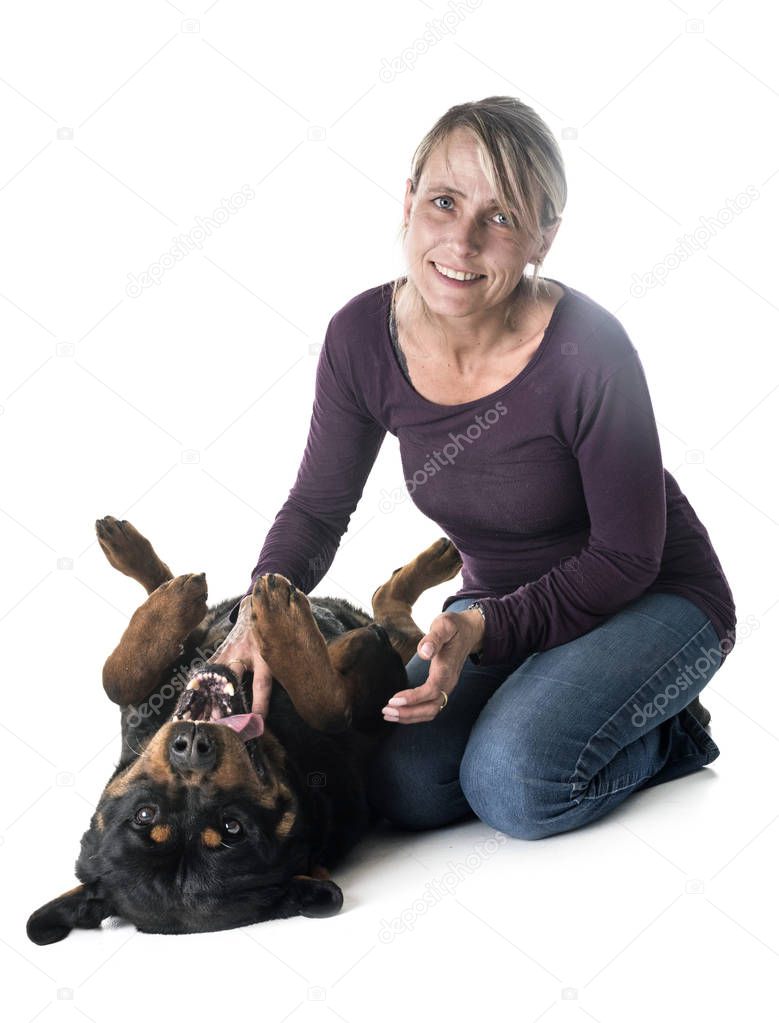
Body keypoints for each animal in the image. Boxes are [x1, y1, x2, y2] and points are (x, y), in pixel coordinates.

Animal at [25, 519, 462, 941]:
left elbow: (116, 678)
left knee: (394, 618)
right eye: (145, 814)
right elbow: (333, 709)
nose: (192, 746)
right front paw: (284, 624)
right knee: (393, 625)